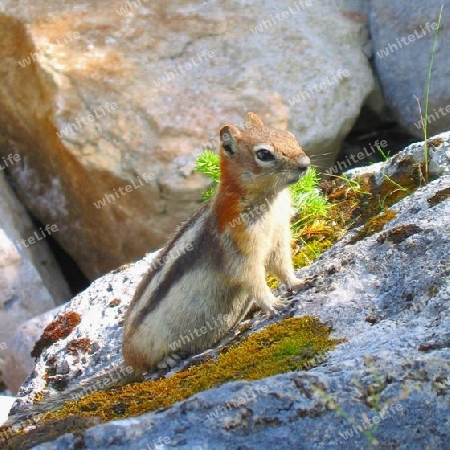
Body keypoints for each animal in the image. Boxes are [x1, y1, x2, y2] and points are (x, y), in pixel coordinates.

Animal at [121, 112, 312, 376]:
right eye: (264, 154)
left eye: (289, 135)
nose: (306, 163)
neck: (269, 200)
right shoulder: (240, 249)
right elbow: (253, 279)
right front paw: (275, 303)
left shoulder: (279, 237)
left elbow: (282, 266)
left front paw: (299, 282)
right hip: (143, 350)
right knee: (143, 366)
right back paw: (165, 360)